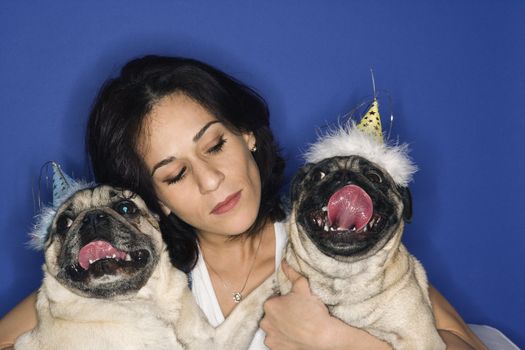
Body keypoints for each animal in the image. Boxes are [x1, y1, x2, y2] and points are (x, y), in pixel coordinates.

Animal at [15, 185, 274, 348]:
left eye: (125, 207)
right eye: (64, 223)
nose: (92, 217)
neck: (141, 301)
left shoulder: (212, 341)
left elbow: (252, 302)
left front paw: (278, 274)